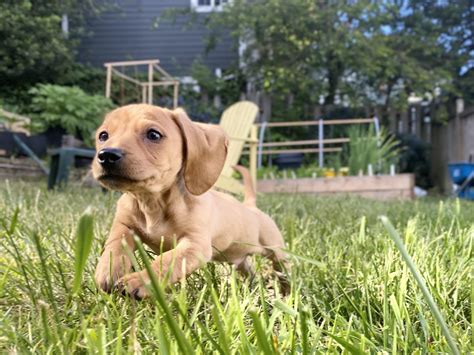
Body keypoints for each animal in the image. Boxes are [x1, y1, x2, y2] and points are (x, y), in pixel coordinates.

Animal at [90, 104, 286, 298]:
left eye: (153, 134)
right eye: (103, 135)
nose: (106, 155)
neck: (152, 203)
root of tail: (250, 206)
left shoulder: (194, 246)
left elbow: (166, 261)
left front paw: (139, 281)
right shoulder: (125, 225)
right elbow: (115, 244)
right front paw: (107, 270)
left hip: (276, 251)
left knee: (282, 269)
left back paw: (286, 291)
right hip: (239, 258)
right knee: (249, 270)